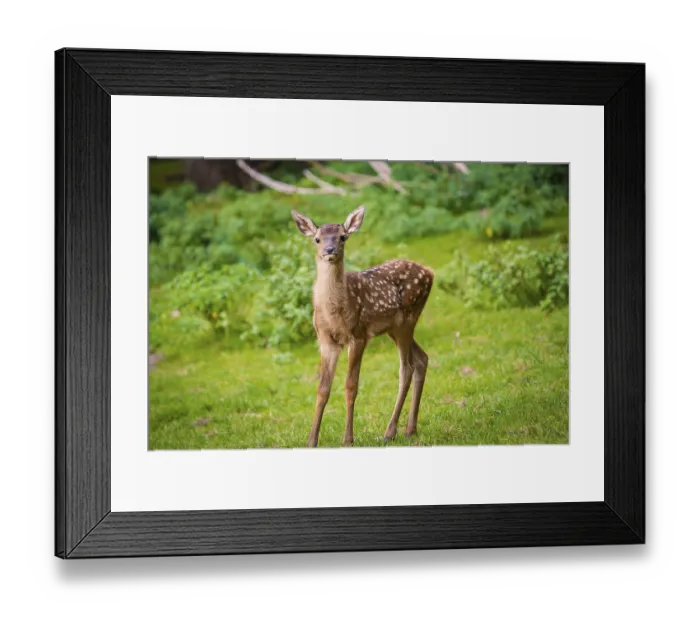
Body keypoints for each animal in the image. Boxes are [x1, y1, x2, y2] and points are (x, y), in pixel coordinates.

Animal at [291, 205, 434, 448]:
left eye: (343, 237)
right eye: (317, 239)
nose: (329, 249)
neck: (334, 313)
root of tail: (430, 273)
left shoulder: (357, 335)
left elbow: (351, 386)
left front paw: (348, 439)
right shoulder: (326, 341)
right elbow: (322, 389)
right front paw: (311, 441)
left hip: (408, 317)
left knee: (406, 368)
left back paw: (390, 431)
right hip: (394, 328)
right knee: (421, 358)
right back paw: (410, 429)